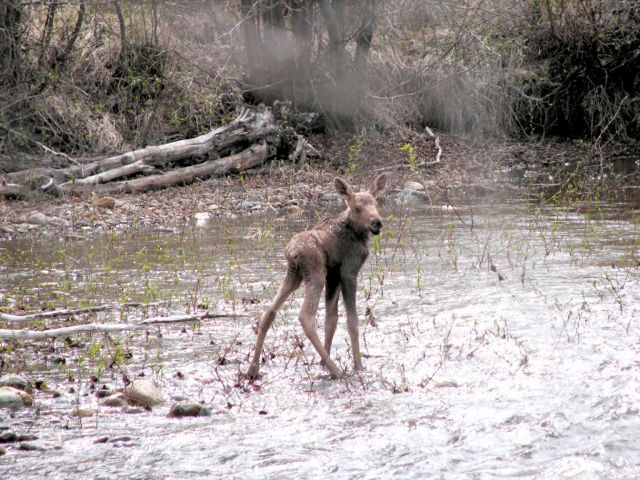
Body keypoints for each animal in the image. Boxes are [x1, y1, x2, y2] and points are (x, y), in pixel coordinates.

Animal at [247, 173, 389, 380]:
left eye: (375, 203)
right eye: (357, 207)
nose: (377, 222)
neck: (357, 234)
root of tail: (292, 251)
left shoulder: (333, 276)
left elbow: (331, 319)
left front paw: (323, 362)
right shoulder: (348, 272)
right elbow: (351, 321)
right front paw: (358, 367)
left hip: (294, 276)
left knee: (268, 312)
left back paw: (253, 369)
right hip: (315, 275)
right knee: (306, 317)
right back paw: (336, 371)